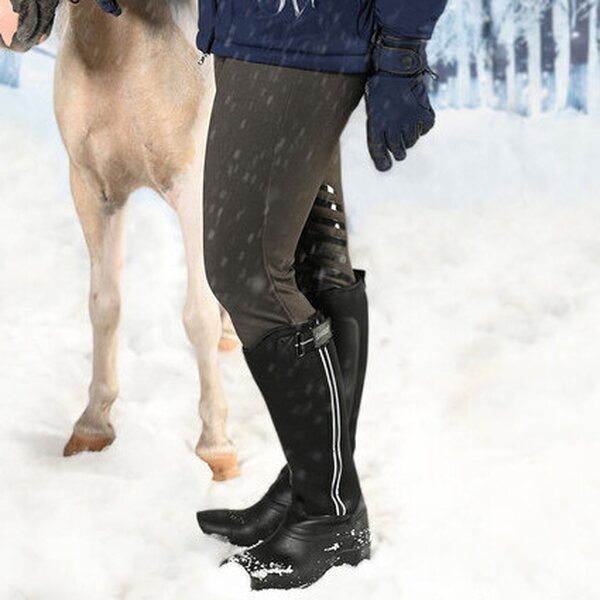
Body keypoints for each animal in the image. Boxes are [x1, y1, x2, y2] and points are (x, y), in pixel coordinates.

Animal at [0, 0, 241, 481]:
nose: (12, 21)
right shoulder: (94, 190)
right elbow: (104, 306)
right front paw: (92, 426)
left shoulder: (196, 193)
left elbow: (197, 316)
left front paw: (215, 447)